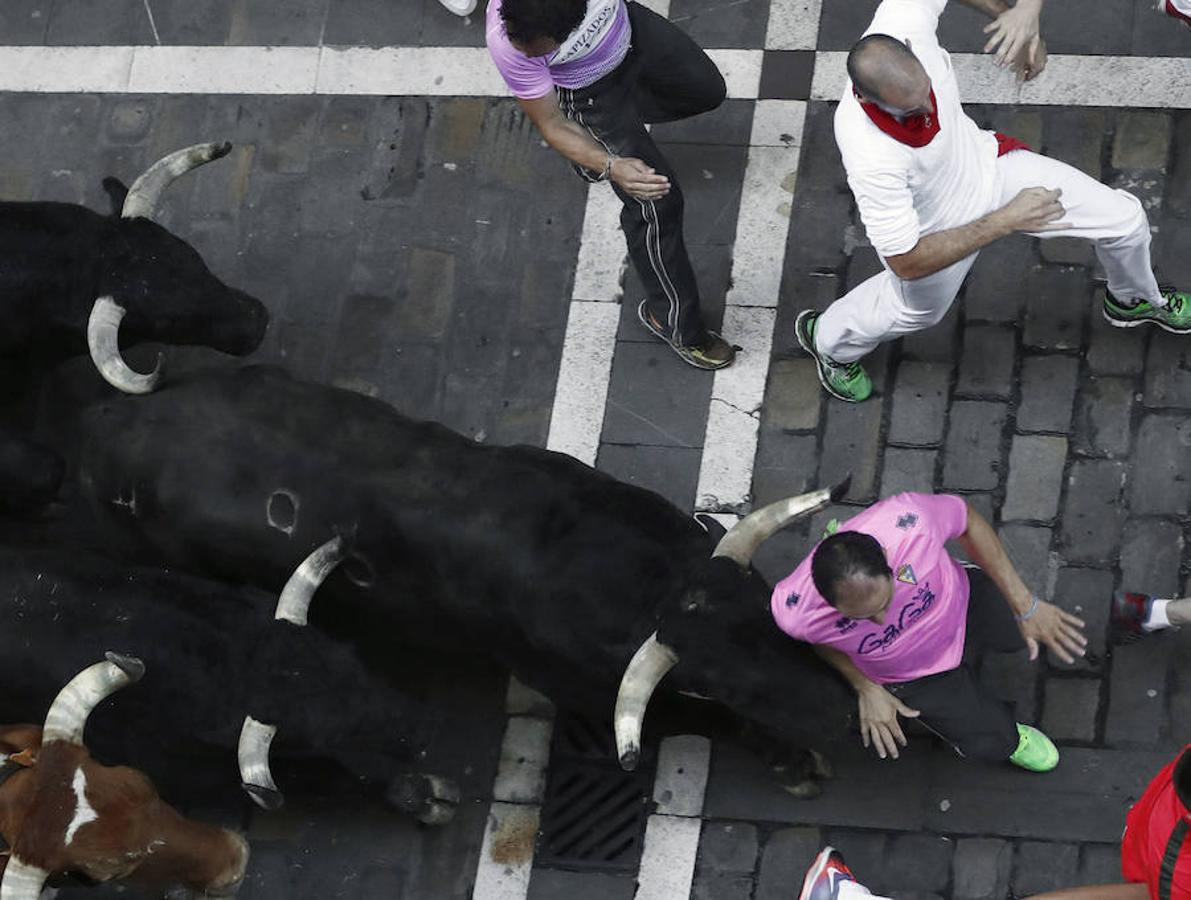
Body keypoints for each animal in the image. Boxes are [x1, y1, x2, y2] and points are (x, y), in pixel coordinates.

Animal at [0, 540, 454, 823]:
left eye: (350, 656)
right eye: (316, 735)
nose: (424, 728)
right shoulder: (179, 772)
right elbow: (326, 774)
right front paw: (419, 794)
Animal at [51, 361, 852, 776]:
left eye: (768, 611)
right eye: (717, 681)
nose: (840, 710)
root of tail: (107, 419)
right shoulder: (590, 695)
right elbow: (691, 723)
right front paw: (793, 760)